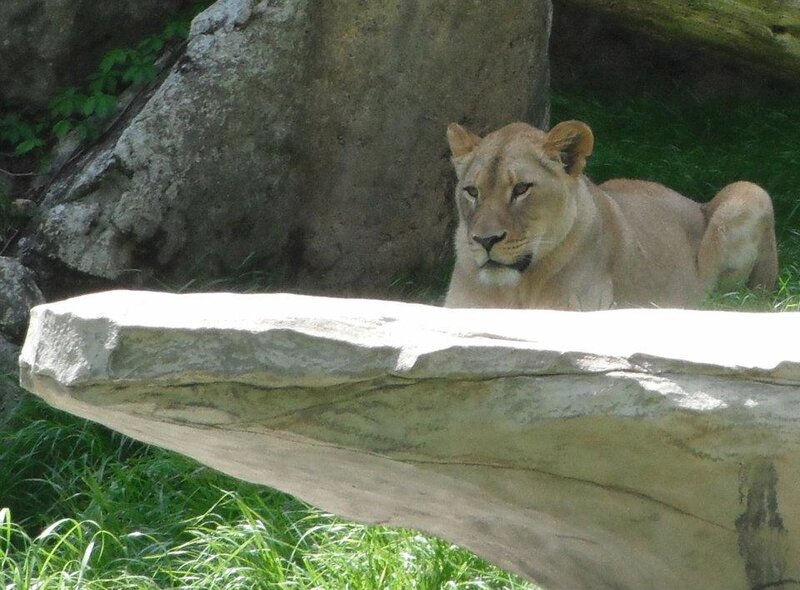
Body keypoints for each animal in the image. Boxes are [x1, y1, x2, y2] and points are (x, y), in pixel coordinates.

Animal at [444, 120, 778, 310]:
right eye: (472, 191)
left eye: (522, 189)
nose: (485, 240)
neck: (514, 290)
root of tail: (696, 203)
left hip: (750, 193)